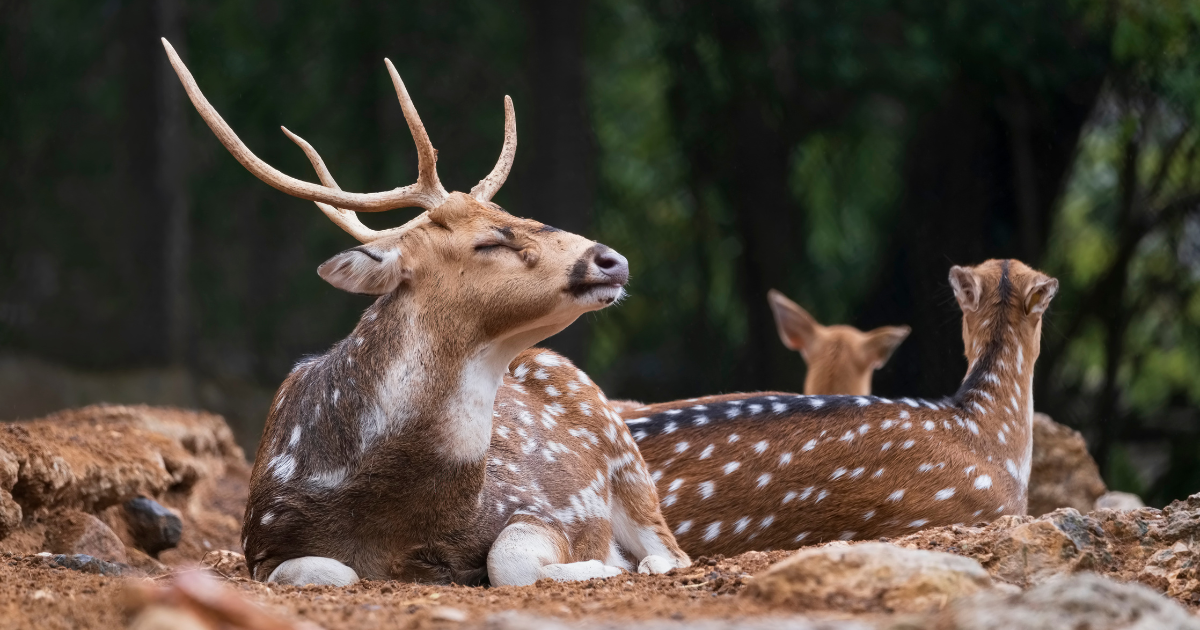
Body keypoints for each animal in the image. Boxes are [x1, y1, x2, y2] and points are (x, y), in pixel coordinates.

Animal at [161, 39, 689, 587]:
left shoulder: (539, 505)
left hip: (624, 454)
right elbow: (333, 571)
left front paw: (600, 565)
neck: (394, 522)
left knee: (673, 551)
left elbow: (508, 560)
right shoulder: (261, 539)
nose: (613, 259)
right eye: (487, 241)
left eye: (516, 214)